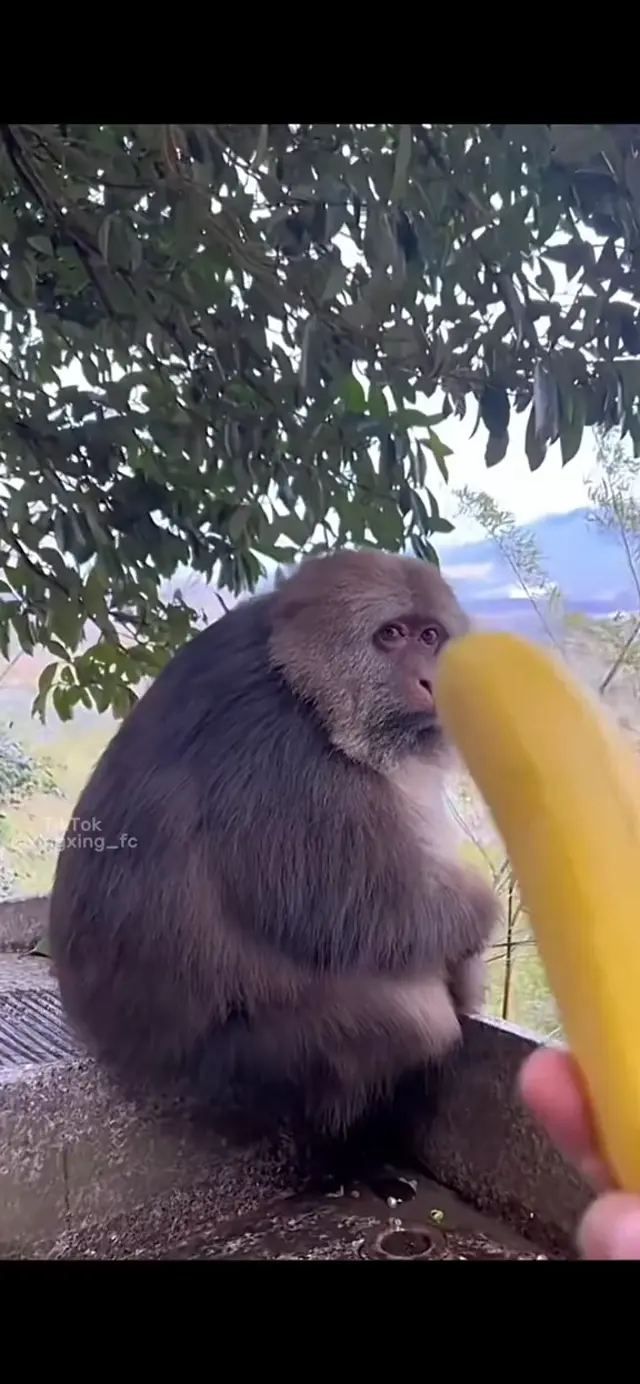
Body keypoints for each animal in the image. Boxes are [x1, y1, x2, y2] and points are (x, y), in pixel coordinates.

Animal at [49, 548, 499, 1197]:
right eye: (391, 635)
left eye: (430, 637)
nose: (430, 681)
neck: (300, 678)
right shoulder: (280, 753)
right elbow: (351, 905)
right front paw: (478, 922)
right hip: (235, 1066)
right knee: (410, 1017)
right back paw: (341, 1156)